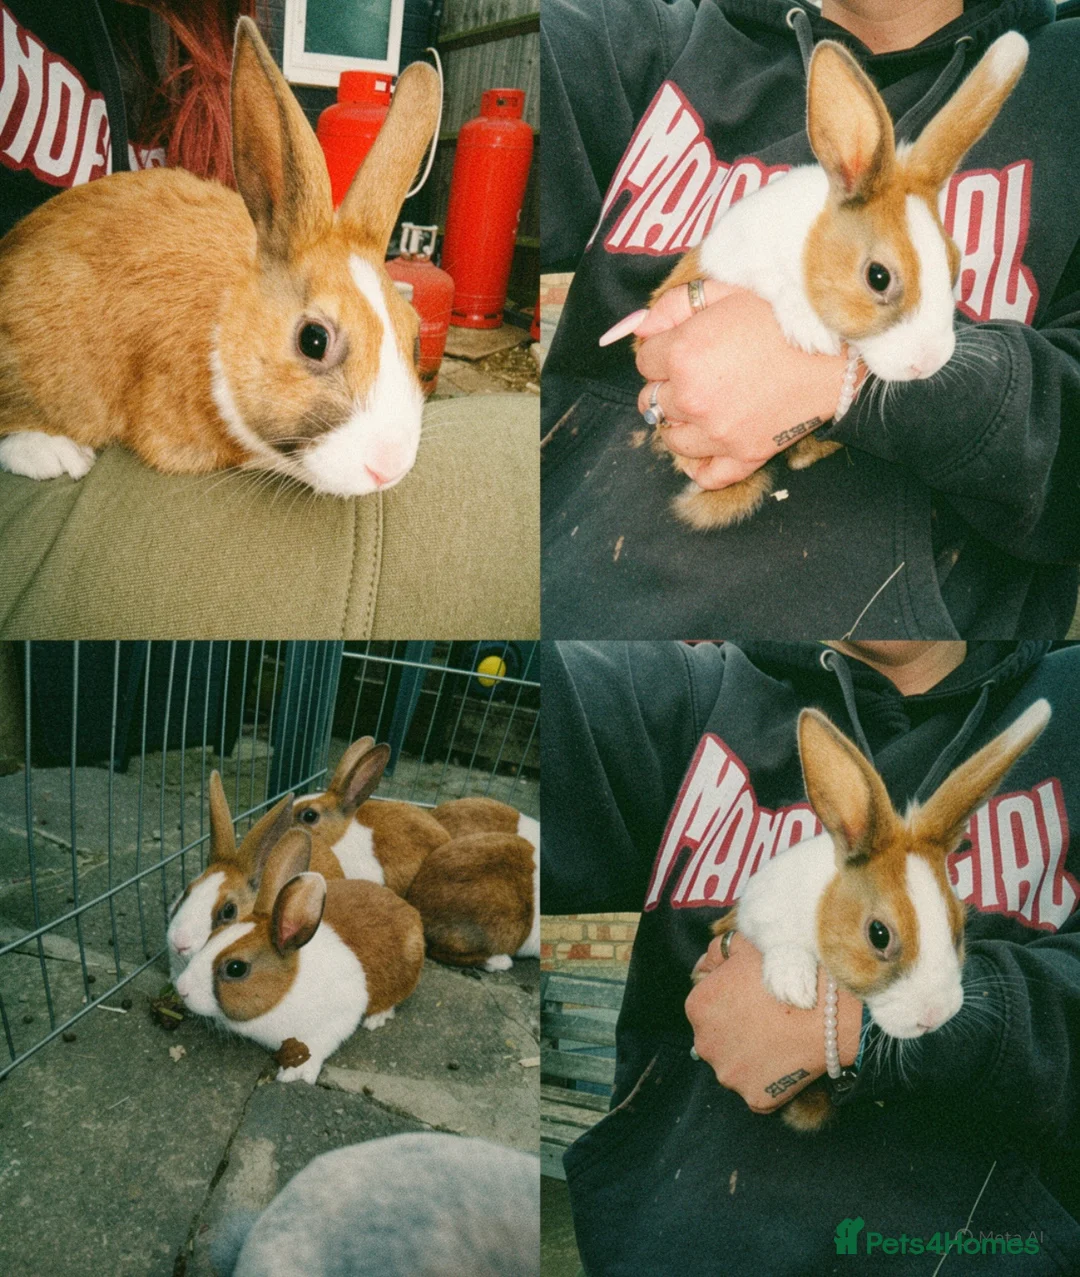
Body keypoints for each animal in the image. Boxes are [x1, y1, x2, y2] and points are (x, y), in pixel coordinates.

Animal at [174, 827, 425, 1083]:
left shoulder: (341, 1015)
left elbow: (317, 1046)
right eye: (212, 936)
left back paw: (376, 1018)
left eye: (236, 968)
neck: (287, 989)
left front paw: (296, 1074)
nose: (181, 988)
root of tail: (410, 911)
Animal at [697, 696, 1050, 1133]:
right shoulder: (758, 908)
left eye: (958, 929)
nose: (934, 1016)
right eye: (879, 934)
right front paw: (794, 987)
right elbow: (781, 943)